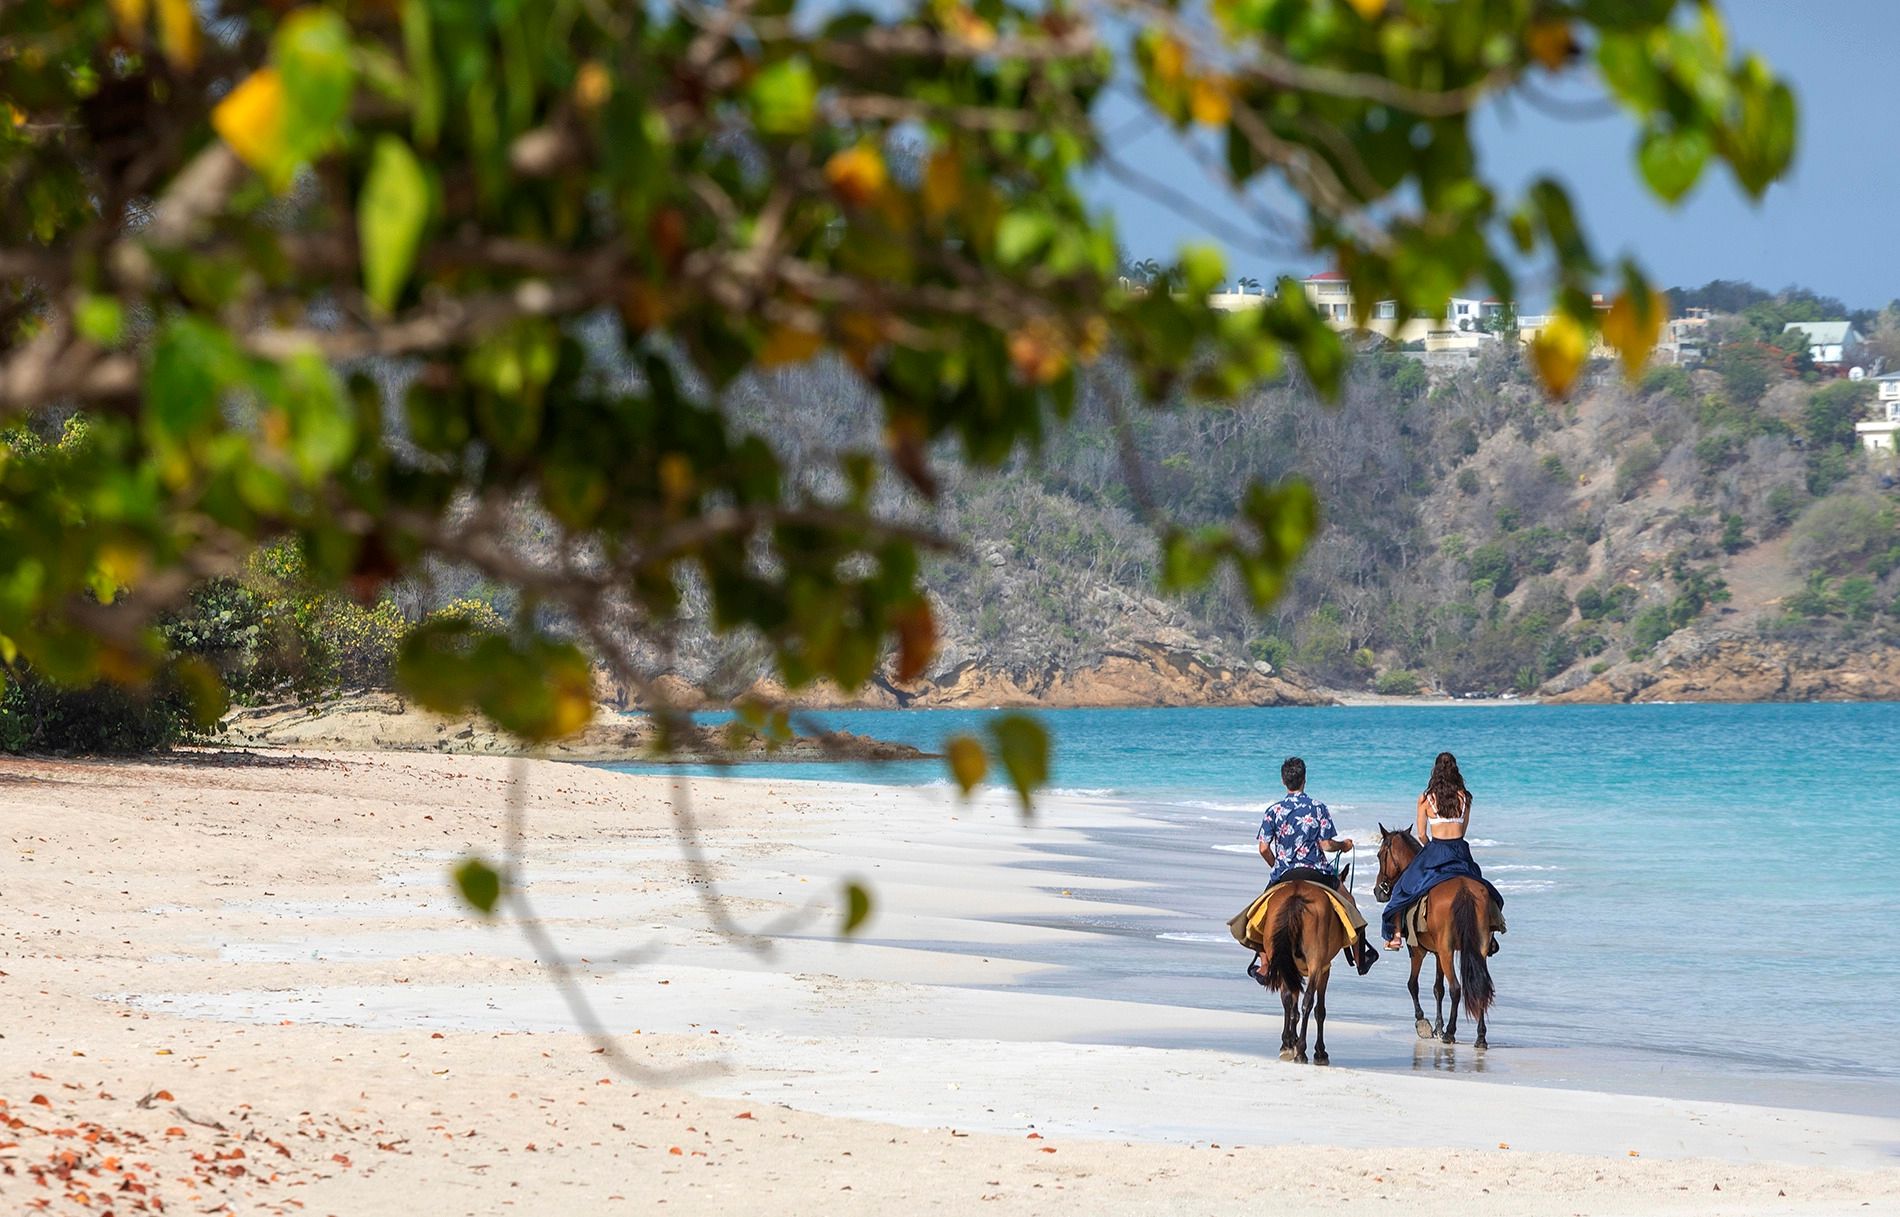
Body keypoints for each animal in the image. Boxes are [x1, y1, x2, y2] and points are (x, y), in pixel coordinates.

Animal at [1254, 877, 1345, 1055]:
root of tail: (1296, 896)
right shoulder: (1324, 969)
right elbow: (1320, 1009)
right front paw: (1319, 1050)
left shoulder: (1293, 970)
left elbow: (1292, 1005)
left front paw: (1290, 1041)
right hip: (1315, 961)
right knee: (1308, 1001)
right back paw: (1302, 1050)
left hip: (1280, 959)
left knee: (1287, 997)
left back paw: (1288, 1044)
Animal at [1368, 831, 1497, 1048]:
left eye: (1379, 855)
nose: (1378, 891)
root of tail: (1464, 890)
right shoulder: (1438, 953)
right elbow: (1438, 988)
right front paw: (1438, 1027)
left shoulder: (1417, 950)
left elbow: (1413, 984)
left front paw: (1424, 1025)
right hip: (1477, 948)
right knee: (1480, 986)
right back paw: (1480, 1037)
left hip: (1446, 950)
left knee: (1456, 988)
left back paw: (1450, 1034)